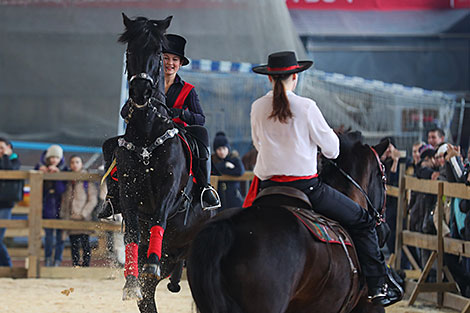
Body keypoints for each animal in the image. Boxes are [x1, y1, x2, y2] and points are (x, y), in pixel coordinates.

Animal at [111, 13, 209, 310]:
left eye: (157, 51)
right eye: (130, 51)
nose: (141, 92)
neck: (147, 131)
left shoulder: (169, 189)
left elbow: (160, 217)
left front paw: (150, 264)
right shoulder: (128, 192)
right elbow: (132, 231)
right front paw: (130, 280)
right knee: (148, 297)